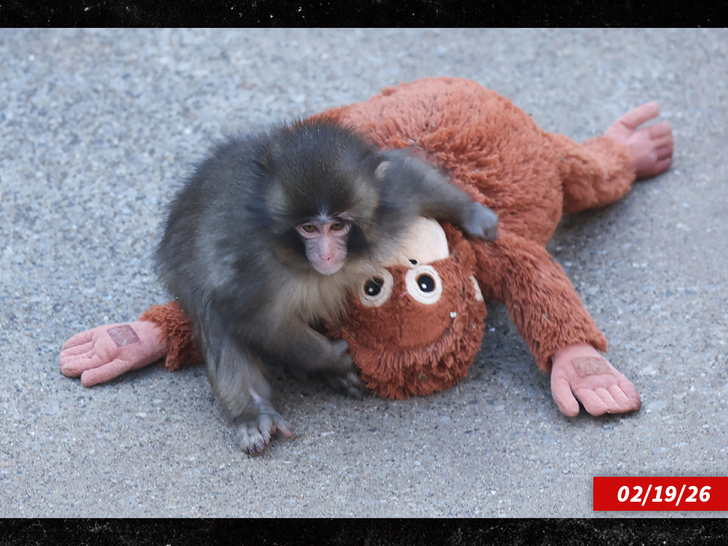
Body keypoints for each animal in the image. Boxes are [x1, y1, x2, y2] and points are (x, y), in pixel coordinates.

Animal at [155, 118, 499, 454]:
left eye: (337, 225)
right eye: (308, 228)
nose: (327, 254)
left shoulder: (389, 203)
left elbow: (411, 176)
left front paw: (475, 215)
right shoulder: (251, 266)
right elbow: (253, 318)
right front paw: (332, 359)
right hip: (180, 270)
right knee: (213, 315)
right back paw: (254, 412)